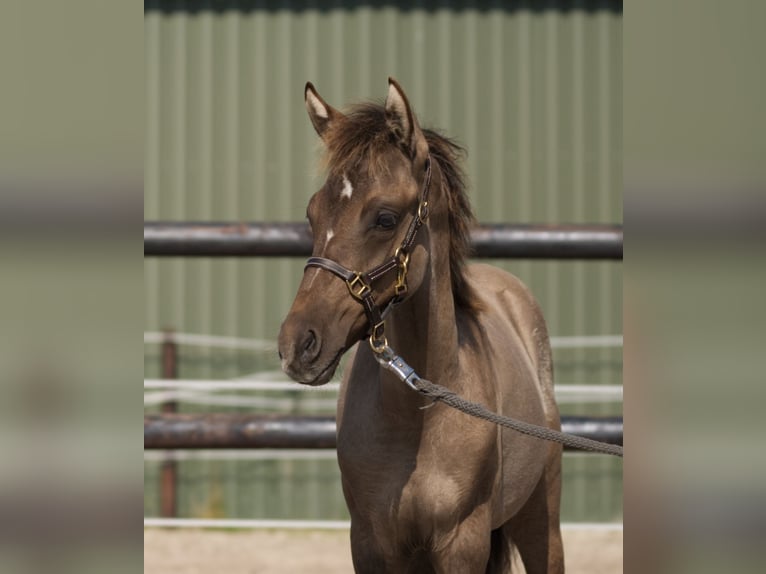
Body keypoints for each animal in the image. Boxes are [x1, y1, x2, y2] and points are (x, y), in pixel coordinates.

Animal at [280, 79, 564, 572]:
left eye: (385, 218)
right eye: (313, 215)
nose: (297, 345)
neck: (417, 415)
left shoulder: (462, 544)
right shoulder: (371, 543)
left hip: (541, 524)